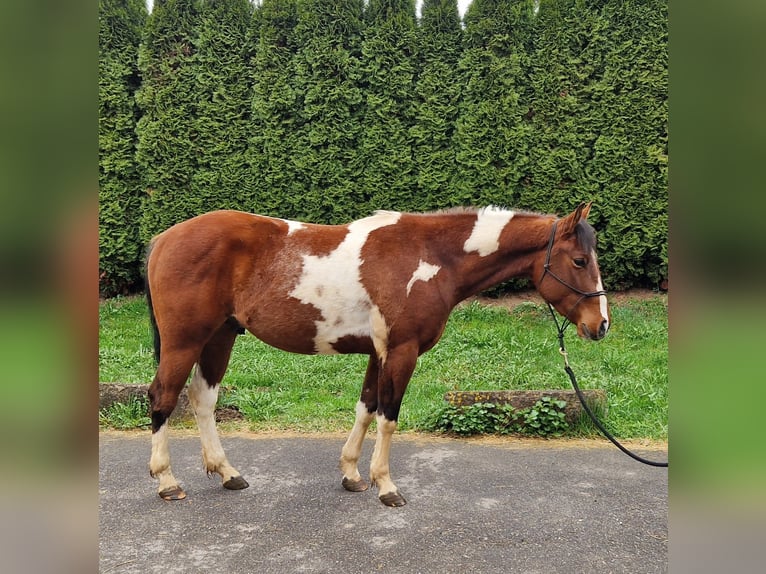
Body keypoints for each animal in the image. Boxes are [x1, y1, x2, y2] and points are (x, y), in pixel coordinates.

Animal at [144, 202, 610, 505]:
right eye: (579, 260)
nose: (600, 324)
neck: (430, 258)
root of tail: (164, 238)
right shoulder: (402, 352)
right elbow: (389, 416)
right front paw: (386, 486)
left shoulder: (378, 353)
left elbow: (366, 409)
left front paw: (352, 474)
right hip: (185, 341)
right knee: (162, 397)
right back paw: (167, 481)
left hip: (220, 337)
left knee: (202, 399)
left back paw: (227, 473)